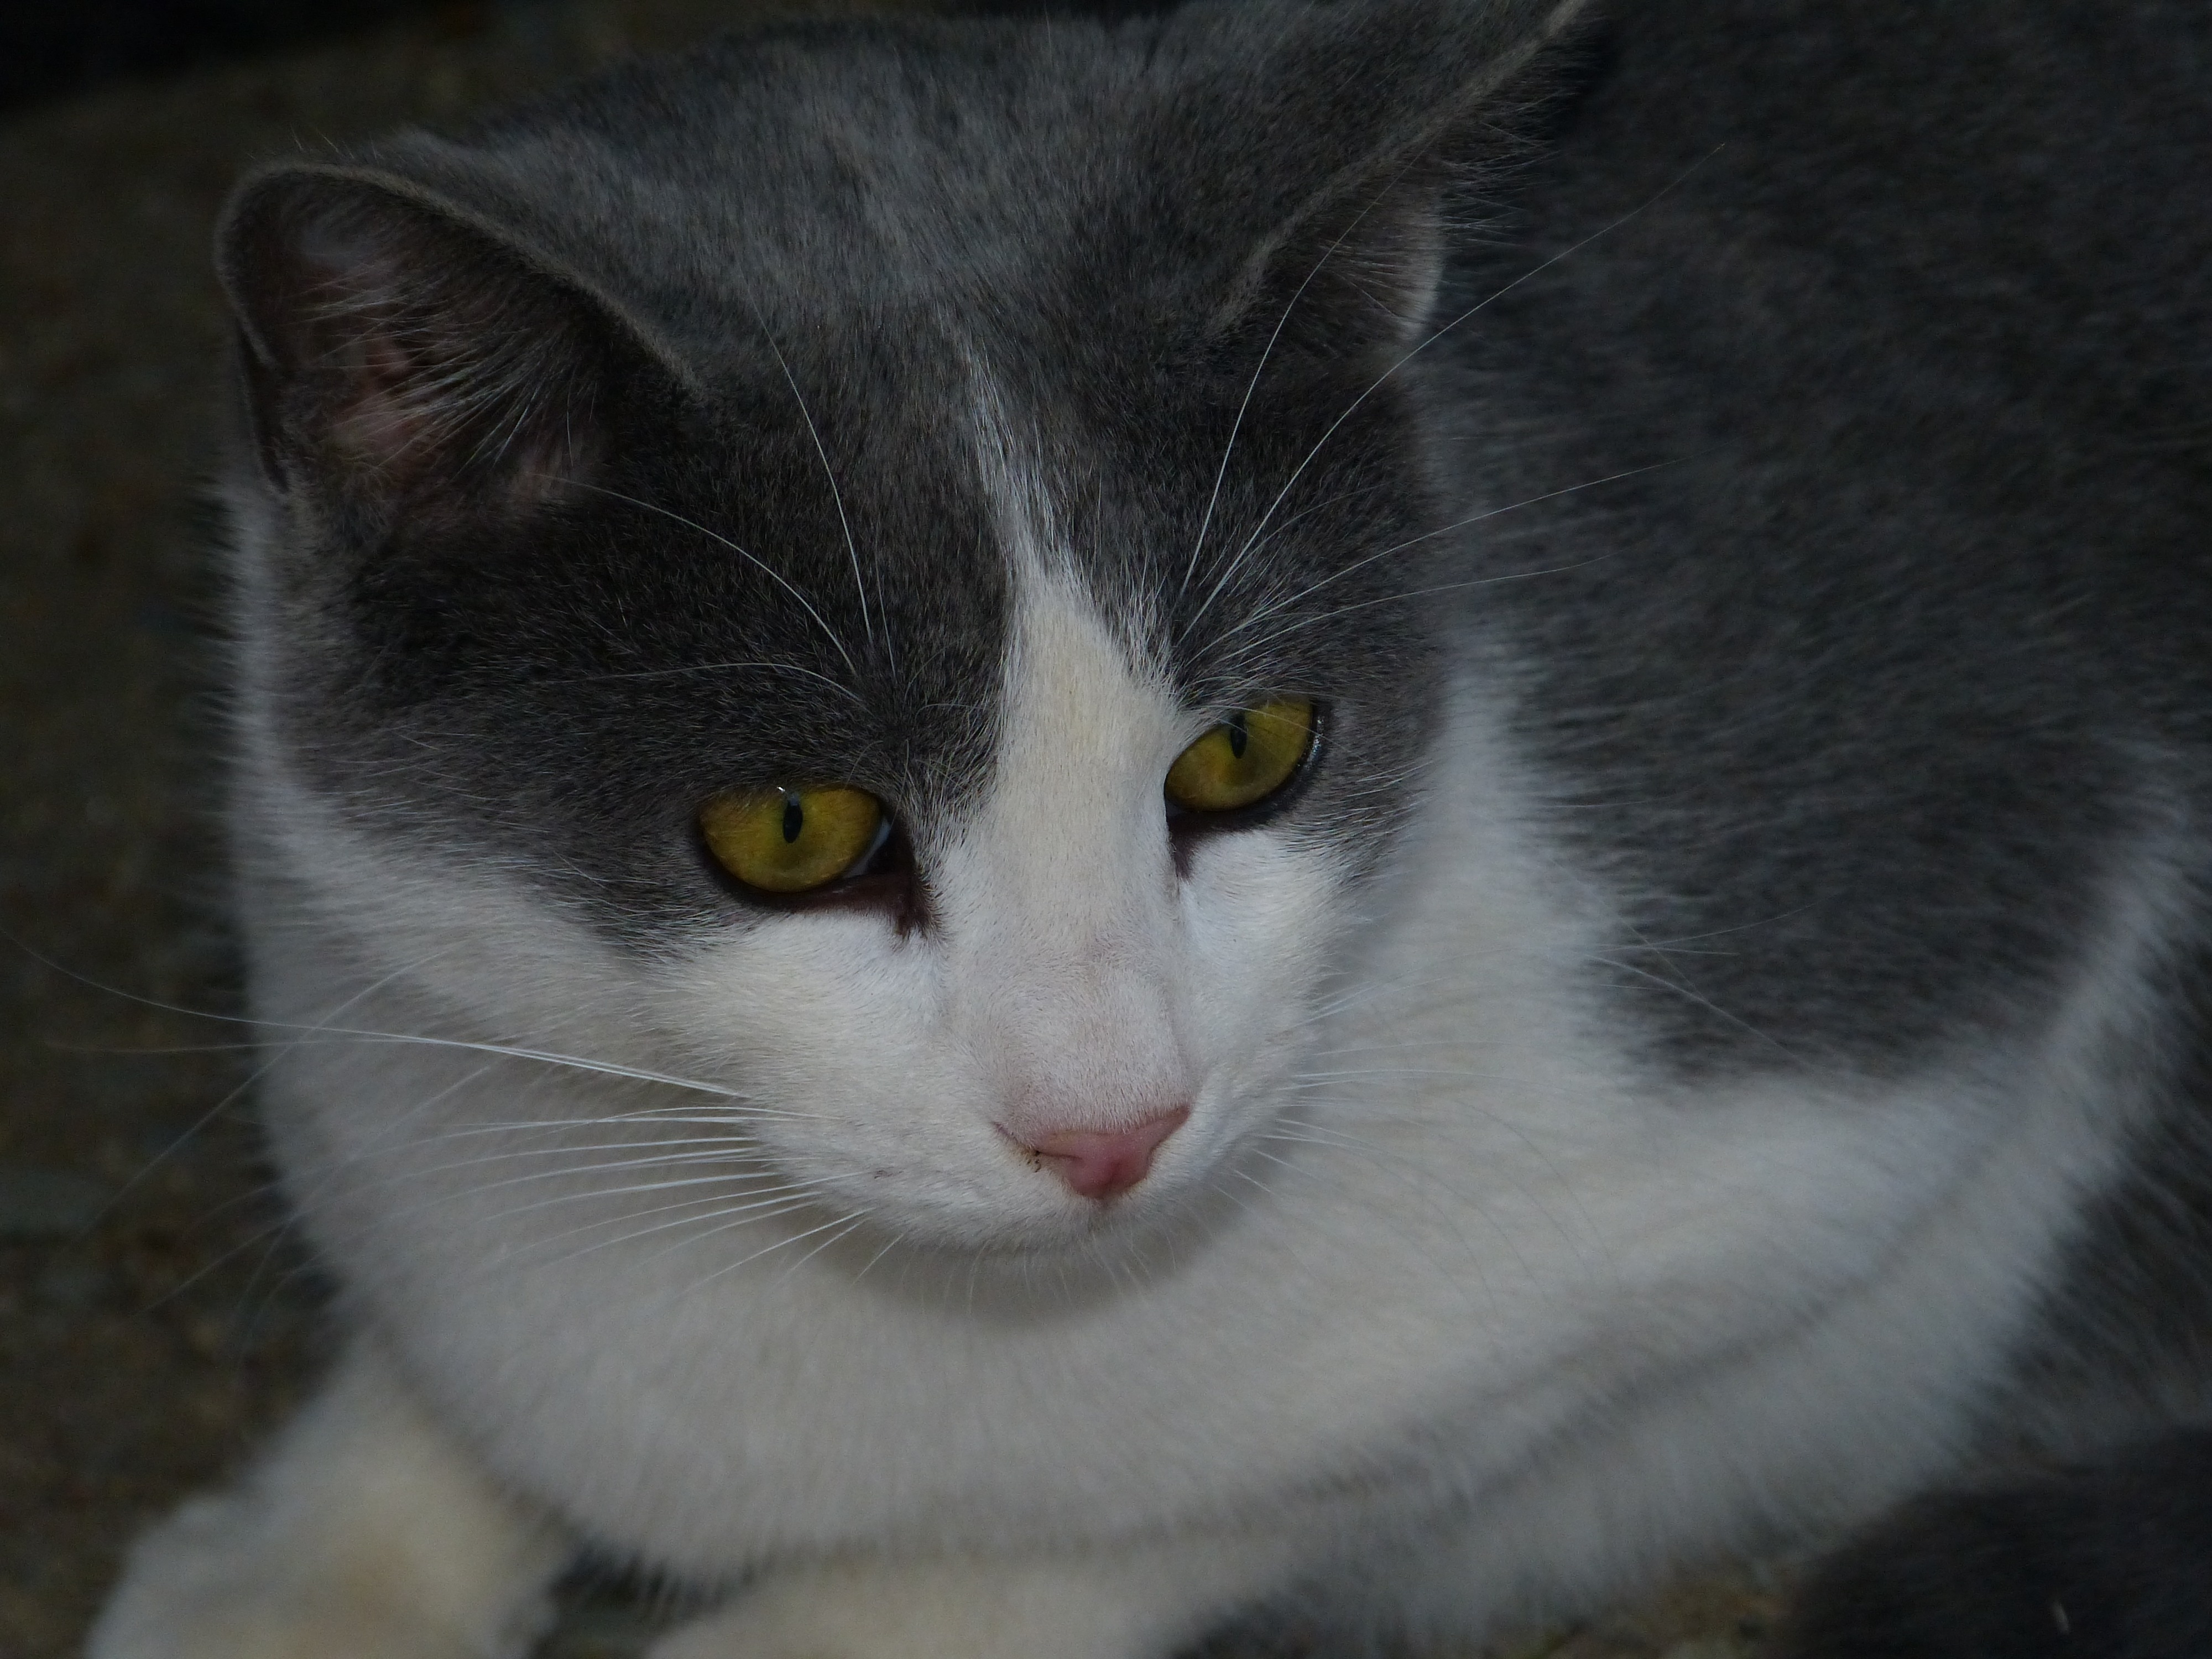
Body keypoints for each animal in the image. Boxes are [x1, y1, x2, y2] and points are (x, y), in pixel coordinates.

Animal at [78, 0, 2212, 1655]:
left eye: (1248, 751)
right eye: (794, 825)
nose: (1112, 1124)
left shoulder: (1843, 1075)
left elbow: (1156, 1518)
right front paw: (301, 1566)